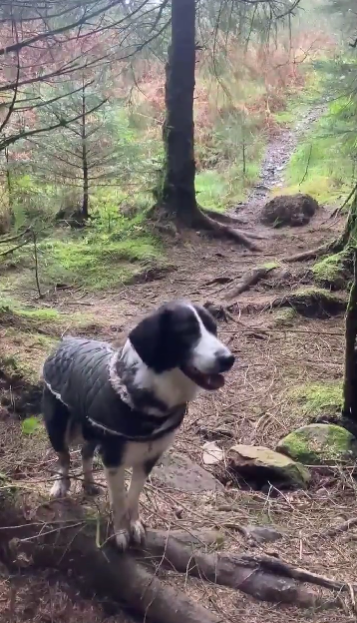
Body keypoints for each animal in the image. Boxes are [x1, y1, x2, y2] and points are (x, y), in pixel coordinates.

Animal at [41, 302, 235, 552]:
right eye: (187, 332)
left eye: (213, 329)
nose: (229, 359)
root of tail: (66, 341)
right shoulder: (113, 458)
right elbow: (119, 499)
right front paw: (121, 532)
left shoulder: (149, 458)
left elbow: (133, 496)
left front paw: (134, 526)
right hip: (58, 425)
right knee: (64, 457)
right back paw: (60, 486)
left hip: (92, 429)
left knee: (85, 453)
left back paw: (89, 484)